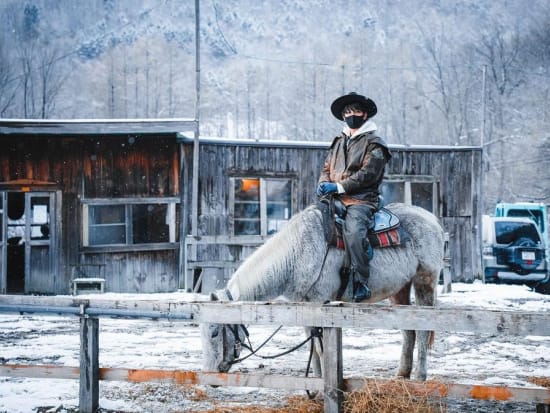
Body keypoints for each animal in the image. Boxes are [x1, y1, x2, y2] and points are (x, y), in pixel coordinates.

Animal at [201, 202, 446, 380]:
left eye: (214, 333)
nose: (210, 373)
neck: (297, 253)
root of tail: (432, 220)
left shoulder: (320, 304)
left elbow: (320, 349)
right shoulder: (304, 307)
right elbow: (313, 348)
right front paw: (317, 382)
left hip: (424, 282)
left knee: (423, 331)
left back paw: (419, 376)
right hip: (400, 289)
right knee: (409, 330)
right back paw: (401, 374)